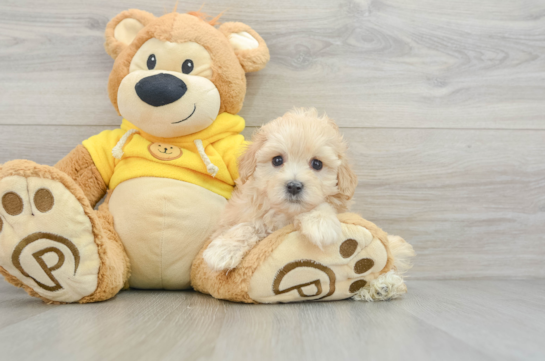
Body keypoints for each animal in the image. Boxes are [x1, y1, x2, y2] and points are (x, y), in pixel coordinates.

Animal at [203, 108, 356, 272]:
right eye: (277, 160)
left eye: (317, 164)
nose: (294, 186)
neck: (285, 213)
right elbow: (249, 225)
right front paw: (223, 250)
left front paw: (320, 223)